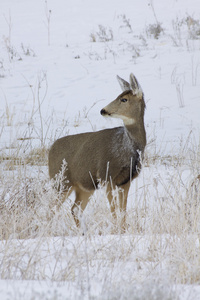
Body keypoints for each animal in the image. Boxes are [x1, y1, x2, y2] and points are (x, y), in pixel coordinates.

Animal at [47, 72, 146, 232]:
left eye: (124, 99)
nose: (103, 110)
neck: (127, 150)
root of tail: (50, 150)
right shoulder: (107, 176)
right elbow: (113, 210)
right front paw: (116, 230)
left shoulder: (126, 180)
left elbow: (122, 210)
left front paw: (123, 230)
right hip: (60, 181)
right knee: (51, 208)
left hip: (85, 186)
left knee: (75, 209)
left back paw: (83, 232)